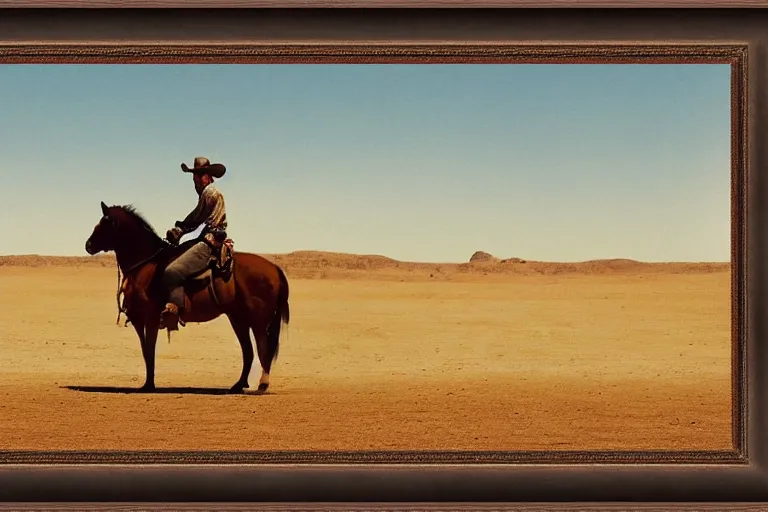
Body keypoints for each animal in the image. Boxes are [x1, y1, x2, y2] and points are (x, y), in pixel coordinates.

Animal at [82, 202, 290, 394]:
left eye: (104, 223)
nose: (88, 245)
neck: (146, 265)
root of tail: (275, 269)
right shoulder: (139, 320)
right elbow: (146, 351)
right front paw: (148, 384)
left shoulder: (150, 318)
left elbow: (149, 350)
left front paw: (149, 386)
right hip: (238, 319)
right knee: (248, 351)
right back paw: (238, 385)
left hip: (258, 321)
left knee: (263, 348)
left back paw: (262, 385)